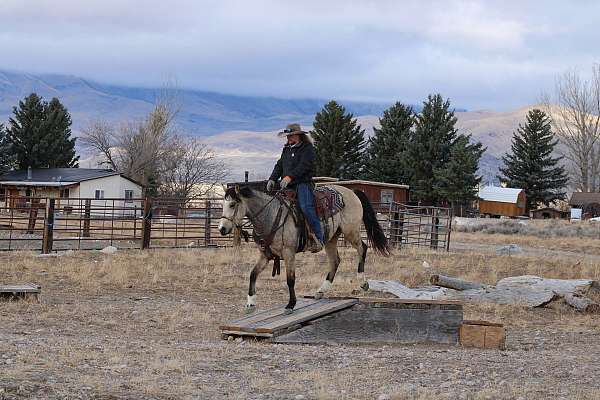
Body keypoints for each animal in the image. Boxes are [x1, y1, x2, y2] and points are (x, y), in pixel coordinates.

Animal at [218, 184, 392, 312]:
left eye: (232, 204)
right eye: (223, 205)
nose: (222, 229)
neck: (271, 216)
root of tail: (351, 191)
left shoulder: (289, 253)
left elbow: (290, 279)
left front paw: (291, 304)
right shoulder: (265, 255)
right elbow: (253, 274)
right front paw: (251, 302)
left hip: (351, 231)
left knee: (362, 248)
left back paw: (362, 281)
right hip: (331, 238)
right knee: (335, 260)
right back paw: (321, 290)